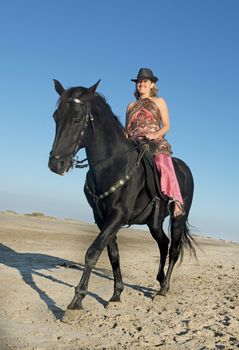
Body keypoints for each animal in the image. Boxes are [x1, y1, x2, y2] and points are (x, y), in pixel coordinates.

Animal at [48, 80, 196, 322]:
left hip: (178, 218)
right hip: (154, 222)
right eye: (56, 116)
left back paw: (163, 289)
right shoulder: (102, 218)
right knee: (163, 243)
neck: (111, 165)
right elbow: (112, 254)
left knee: (174, 249)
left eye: (77, 119)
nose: (55, 164)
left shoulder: (118, 215)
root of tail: (185, 169)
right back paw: (159, 280)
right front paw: (116, 295)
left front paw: (76, 302)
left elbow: (92, 252)